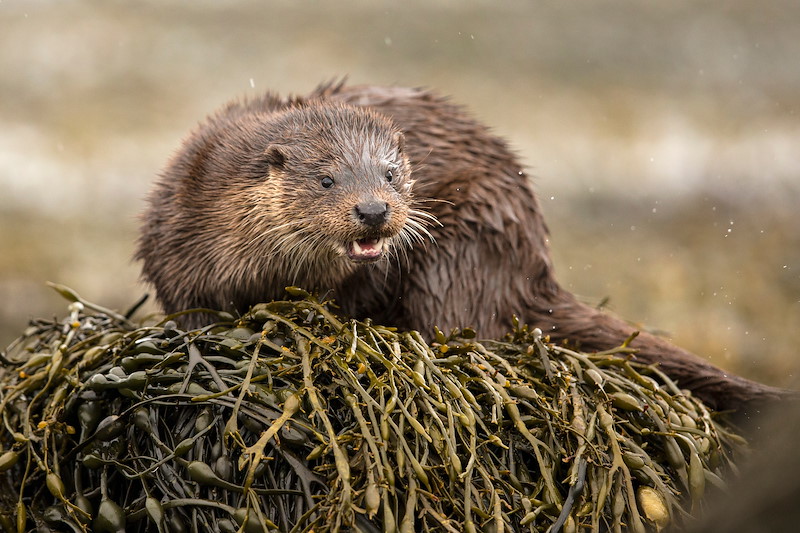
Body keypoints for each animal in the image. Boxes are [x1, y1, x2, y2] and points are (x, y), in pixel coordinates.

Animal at [137, 81, 787, 412]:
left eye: (392, 174)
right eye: (326, 179)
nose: (373, 210)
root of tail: (535, 267)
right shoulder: (174, 250)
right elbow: (191, 315)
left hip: (469, 238)